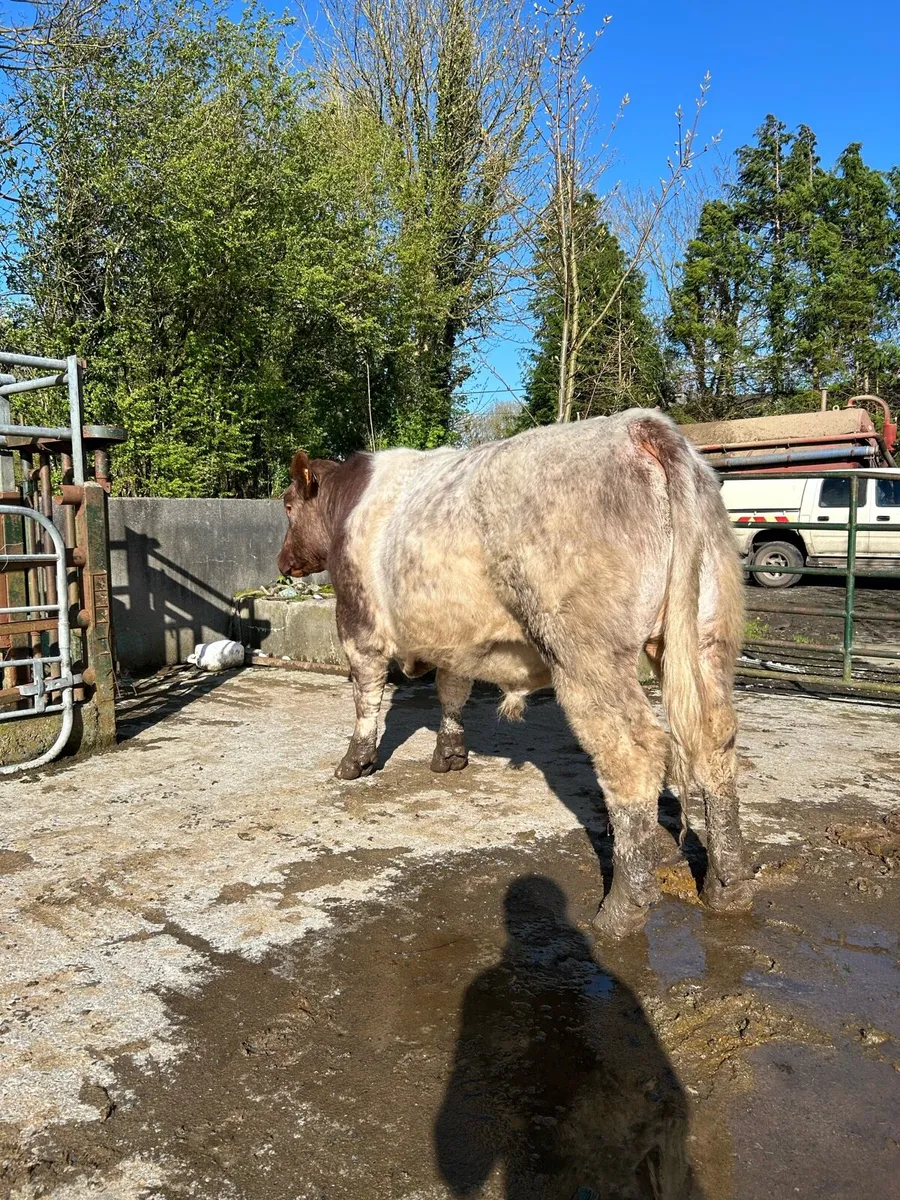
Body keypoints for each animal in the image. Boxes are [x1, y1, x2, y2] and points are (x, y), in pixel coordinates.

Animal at [278, 409, 755, 938]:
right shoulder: (456, 638)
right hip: (707, 628)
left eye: (288, 505)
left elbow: (366, 695)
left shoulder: (357, 624)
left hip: (586, 649)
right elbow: (452, 688)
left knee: (633, 754)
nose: (282, 562)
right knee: (715, 740)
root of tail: (638, 426)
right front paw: (450, 754)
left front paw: (355, 762)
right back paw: (729, 886)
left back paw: (621, 910)